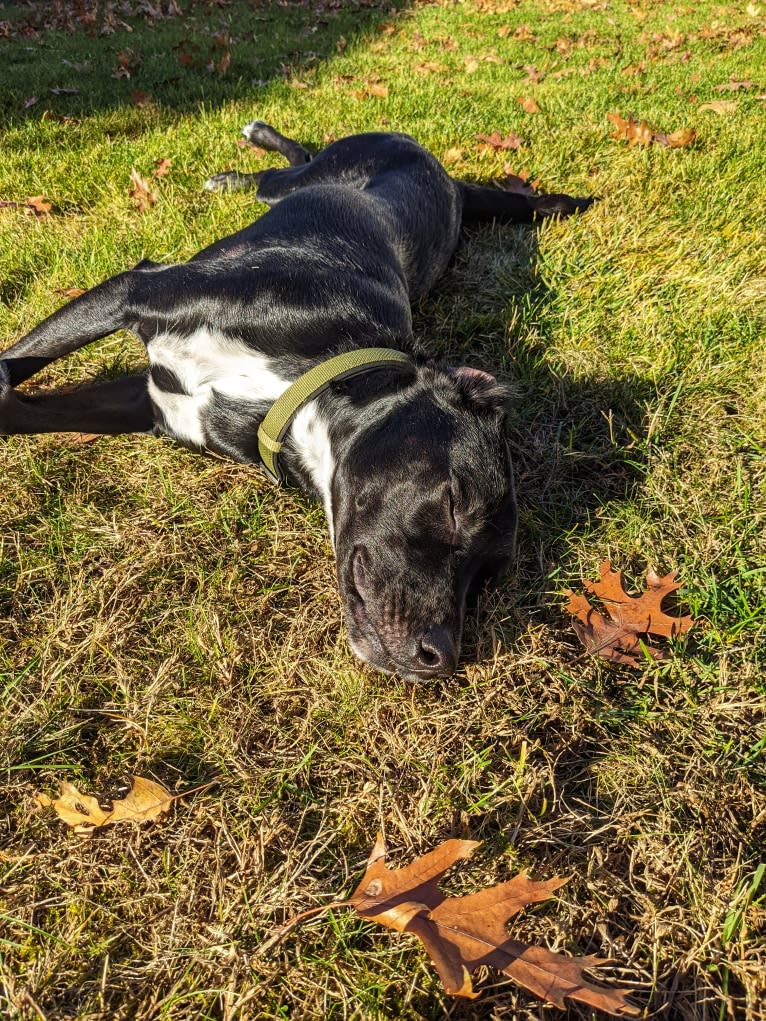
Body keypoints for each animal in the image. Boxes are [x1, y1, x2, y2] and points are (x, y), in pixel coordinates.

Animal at [0, 123, 592, 682]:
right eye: (454, 502)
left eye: (486, 579)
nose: (440, 657)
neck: (298, 382)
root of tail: (445, 175)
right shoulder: (133, 290)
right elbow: (12, 369)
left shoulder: (152, 402)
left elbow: (17, 409)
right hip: (303, 181)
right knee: (287, 166)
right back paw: (247, 155)